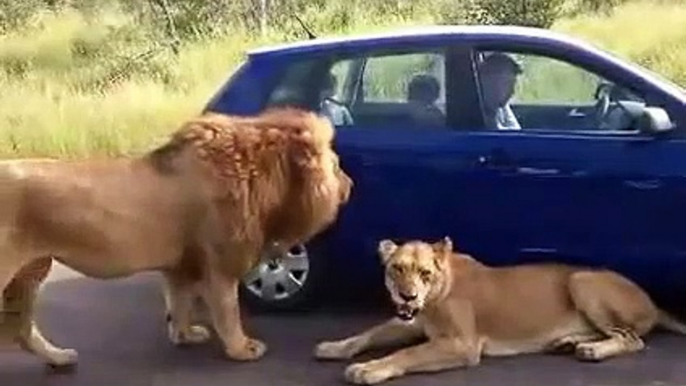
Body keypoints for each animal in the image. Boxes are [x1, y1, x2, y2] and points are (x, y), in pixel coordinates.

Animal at [0, 107, 352, 366]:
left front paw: (185, 335)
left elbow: (180, 302)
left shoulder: (182, 262)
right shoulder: (219, 259)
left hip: (31, 271)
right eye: (336, 166)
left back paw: (59, 359)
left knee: (21, 328)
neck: (262, 173)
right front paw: (241, 349)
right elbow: (228, 309)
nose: (351, 185)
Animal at [318, 237, 686, 384]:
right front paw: (334, 347)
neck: (433, 297)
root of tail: (654, 302)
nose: (407, 296)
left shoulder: (463, 345)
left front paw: (368, 370)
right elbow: (366, 334)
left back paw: (592, 350)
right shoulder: (412, 322)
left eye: (425, 273)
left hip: (581, 278)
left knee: (633, 339)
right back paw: (567, 342)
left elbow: (406, 354)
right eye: (397, 268)